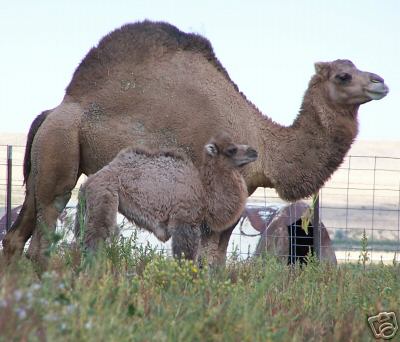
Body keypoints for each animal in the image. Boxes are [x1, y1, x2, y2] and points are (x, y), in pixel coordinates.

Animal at [74, 133, 256, 260]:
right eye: (231, 150)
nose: (254, 151)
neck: (204, 191)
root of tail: (89, 181)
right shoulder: (185, 220)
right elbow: (185, 256)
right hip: (105, 195)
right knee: (97, 235)